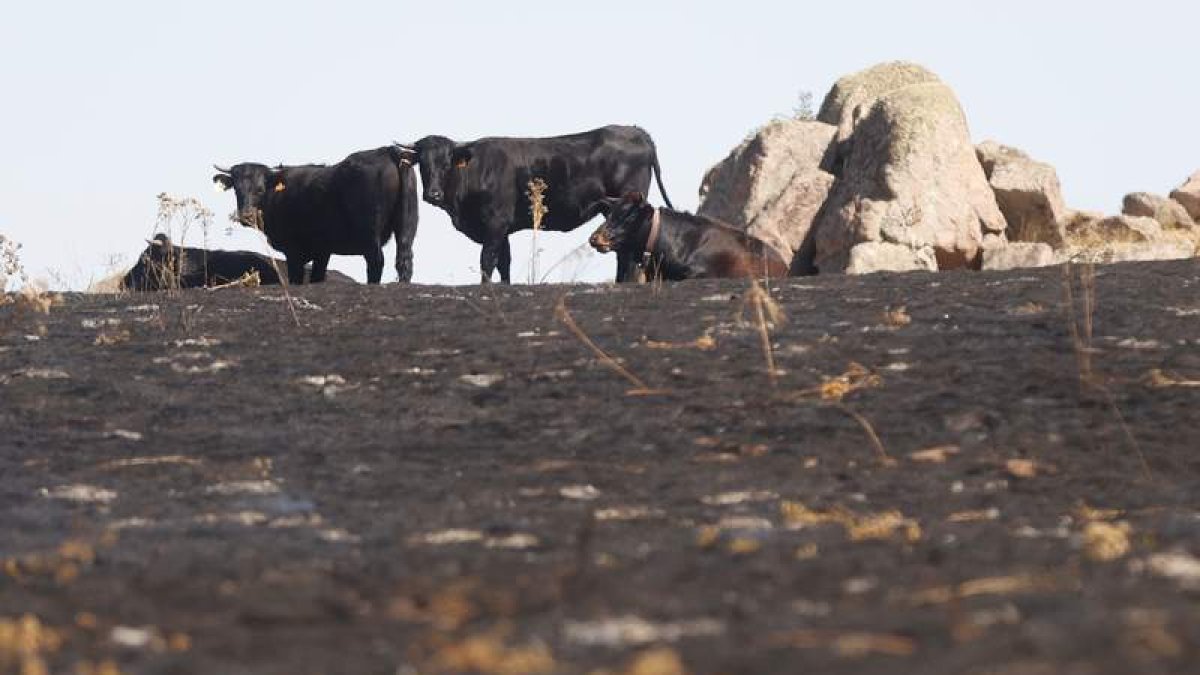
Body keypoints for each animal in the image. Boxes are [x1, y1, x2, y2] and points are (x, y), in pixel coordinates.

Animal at [213, 145, 420, 282]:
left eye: (260, 189)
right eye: (237, 189)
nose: (246, 216)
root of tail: (387, 150)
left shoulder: (294, 251)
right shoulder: (322, 250)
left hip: (370, 233)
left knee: (376, 261)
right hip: (407, 225)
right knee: (405, 259)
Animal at [396, 124, 672, 282]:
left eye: (446, 163)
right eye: (423, 163)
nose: (433, 194)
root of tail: (635, 131)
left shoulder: (495, 224)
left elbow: (487, 261)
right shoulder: (502, 230)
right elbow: (504, 264)